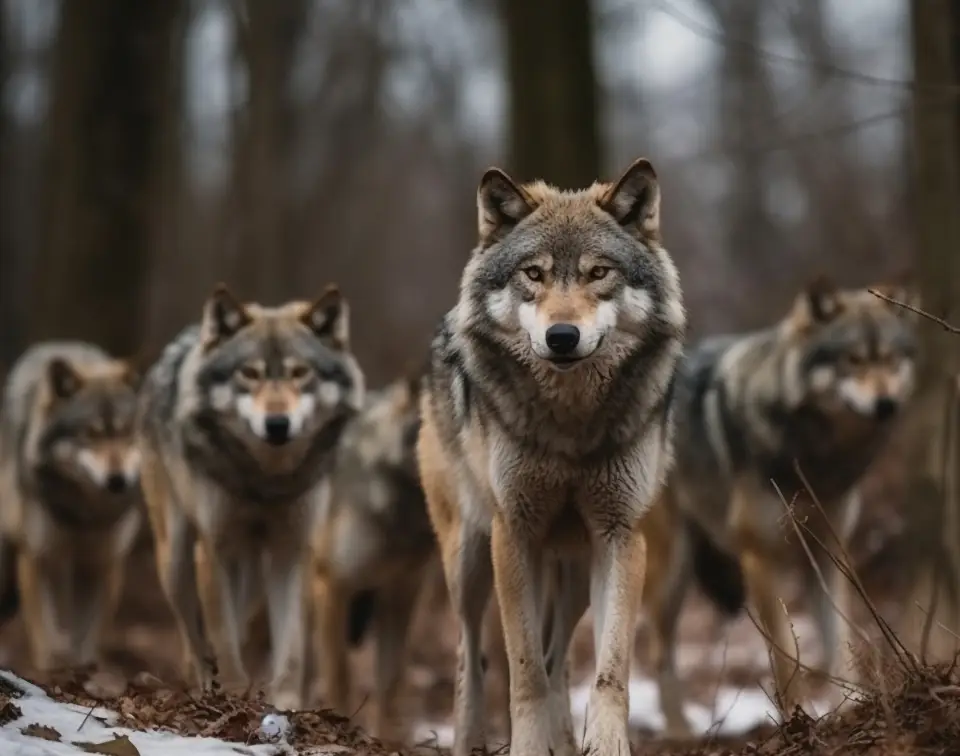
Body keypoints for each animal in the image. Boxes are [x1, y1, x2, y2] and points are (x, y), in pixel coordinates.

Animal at [0, 341, 142, 671]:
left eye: (127, 433)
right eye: (89, 434)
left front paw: (81, 671)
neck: (84, 514)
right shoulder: (37, 558)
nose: (118, 480)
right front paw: (50, 672)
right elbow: (44, 632)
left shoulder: (103, 563)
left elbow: (88, 637)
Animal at [137, 284, 364, 710]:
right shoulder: (216, 549)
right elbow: (222, 636)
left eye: (299, 373)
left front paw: (286, 705)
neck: (266, 480)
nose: (277, 424)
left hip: (253, 573)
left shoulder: (291, 552)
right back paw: (201, 682)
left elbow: (290, 649)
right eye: (250, 373)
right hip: (176, 558)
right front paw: (232, 692)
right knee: (192, 633)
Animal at [310, 369, 434, 743]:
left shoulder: (400, 595)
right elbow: (339, 676)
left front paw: (389, 742)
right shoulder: (333, 587)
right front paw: (338, 728)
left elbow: (390, 684)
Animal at [417, 158, 686, 756]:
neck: (570, 424)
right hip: (469, 559)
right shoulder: (514, 533)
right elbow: (523, 673)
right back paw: (470, 739)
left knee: (558, 655)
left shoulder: (620, 536)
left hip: (574, 571)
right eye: (534, 275)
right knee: (472, 656)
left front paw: (606, 745)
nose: (563, 336)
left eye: (598, 273)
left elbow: (609, 671)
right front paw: (528, 744)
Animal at [648, 278, 919, 736]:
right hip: (670, 571)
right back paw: (678, 733)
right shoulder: (760, 557)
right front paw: (797, 719)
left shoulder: (828, 556)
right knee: (649, 645)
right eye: (852, 360)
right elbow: (785, 653)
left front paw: (853, 708)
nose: (886, 405)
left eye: (890, 358)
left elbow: (837, 641)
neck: (815, 455)